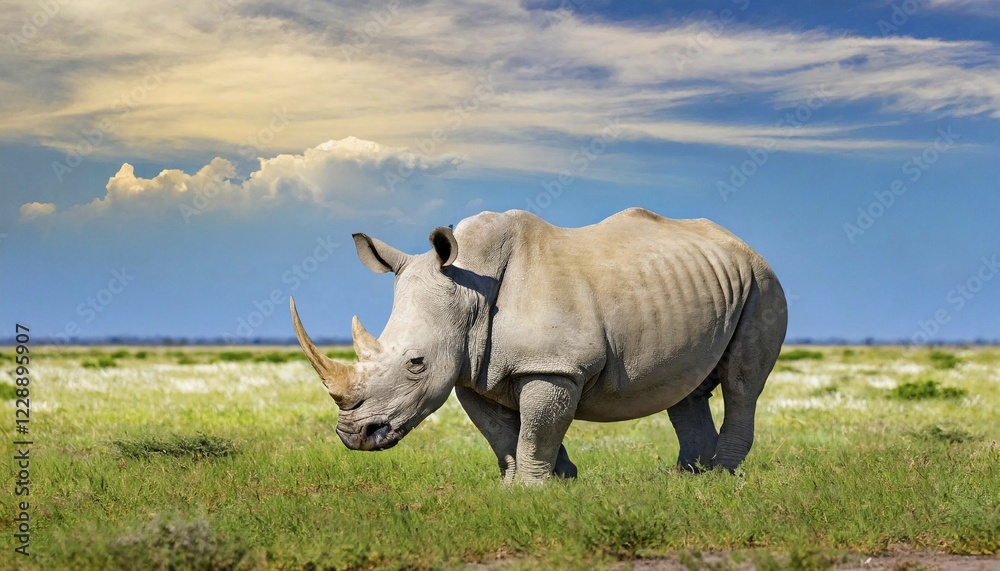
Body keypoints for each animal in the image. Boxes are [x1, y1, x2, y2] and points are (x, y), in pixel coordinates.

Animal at [290, 208, 787, 484]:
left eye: (416, 363)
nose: (354, 436)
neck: (470, 287)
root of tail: (742, 244)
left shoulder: (554, 364)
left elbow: (537, 427)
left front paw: (536, 487)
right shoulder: (472, 370)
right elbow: (501, 433)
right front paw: (528, 486)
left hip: (762, 283)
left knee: (741, 384)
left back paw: (719, 477)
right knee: (684, 388)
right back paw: (686, 479)